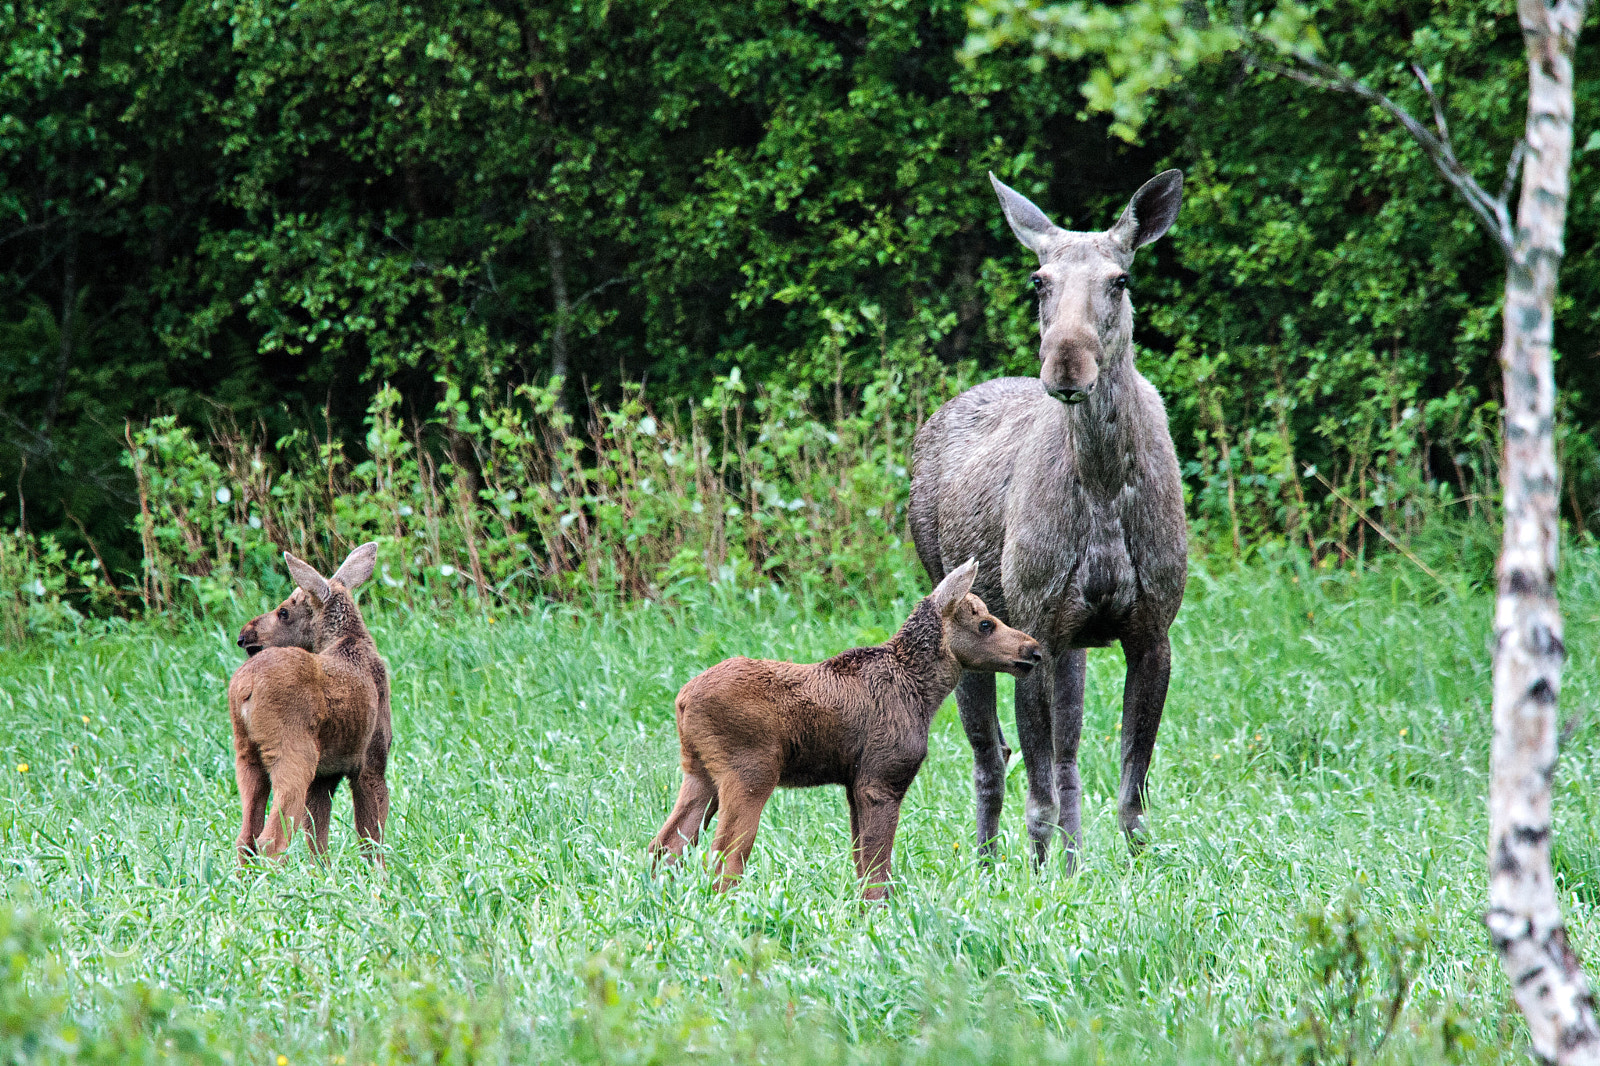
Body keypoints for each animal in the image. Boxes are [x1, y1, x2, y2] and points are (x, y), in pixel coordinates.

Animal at [229, 543, 392, 865]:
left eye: (283, 612)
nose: (243, 636)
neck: (349, 640)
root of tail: (244, 688)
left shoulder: (324, 776)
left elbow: (317, 840)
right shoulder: (371, 762)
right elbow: (371, 839)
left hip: (247, 755)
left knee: (245, 838)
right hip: (294, 753)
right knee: (271, 840)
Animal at [649, 559, 1042, 899]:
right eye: (986, 624)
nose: (1034, 650)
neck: (924, 693)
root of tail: (681, 701)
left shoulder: (855, 784)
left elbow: (862, 864)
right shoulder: (881, 779)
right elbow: (877, 868)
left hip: (699, 771)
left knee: (665, 846)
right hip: (750, 772)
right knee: (724, 857)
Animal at [909, 170, 1188, 871]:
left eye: (1121, 278)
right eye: (1039, 279)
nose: (1066, 364)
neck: (1105, 488)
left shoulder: (1150, 629)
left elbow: (1131, 797)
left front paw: (1124, 874)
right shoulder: (1034, 625)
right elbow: (1035, 793)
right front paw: (1037, 881)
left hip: (1073, 645)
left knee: (1064, 761)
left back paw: (1070, 860)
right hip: (965, 616)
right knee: (991, 757)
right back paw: (986, 866)